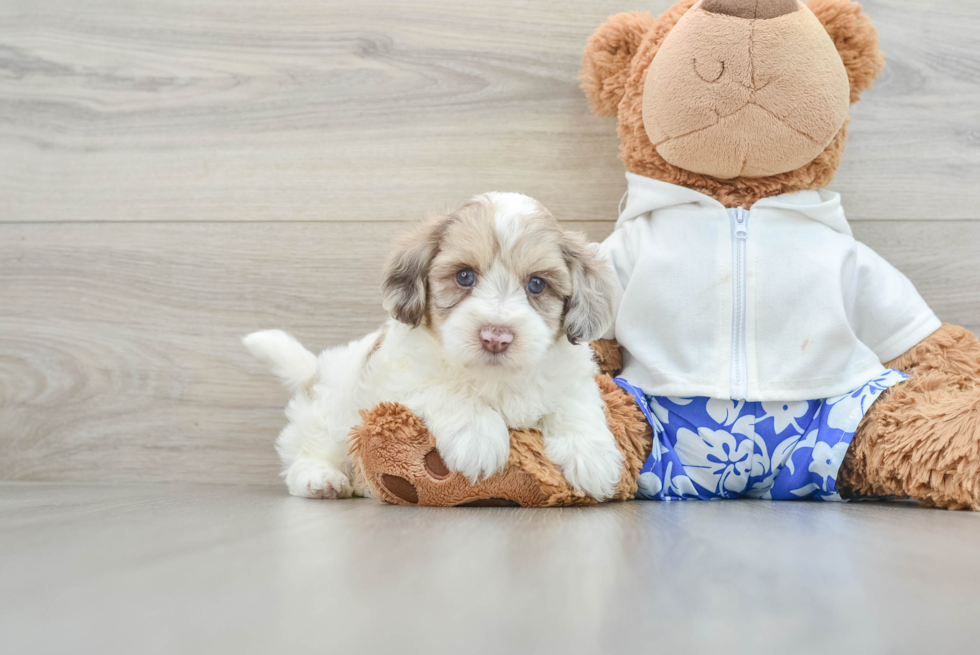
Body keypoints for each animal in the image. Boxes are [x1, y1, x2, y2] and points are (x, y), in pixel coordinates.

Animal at [249, 192, 624, 500]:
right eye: (464, 276)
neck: (496, 377)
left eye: (536, 284)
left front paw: (591, 455)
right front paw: (478, 435)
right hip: (331, 414)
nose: (496, 336)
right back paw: (320, 479)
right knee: (307, 450)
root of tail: (314, 374)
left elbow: (574, 405)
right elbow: (448, 389)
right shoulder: (401, 379)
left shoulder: (571, 378)